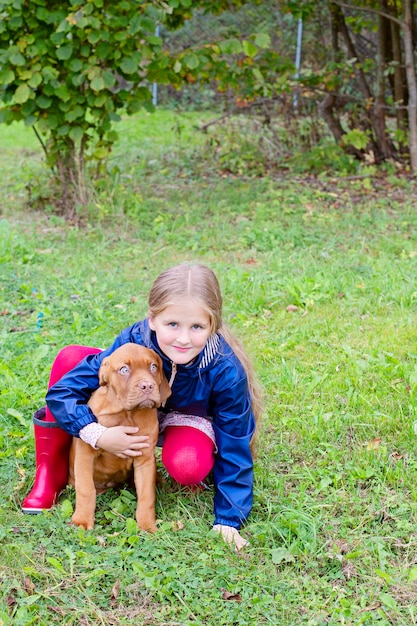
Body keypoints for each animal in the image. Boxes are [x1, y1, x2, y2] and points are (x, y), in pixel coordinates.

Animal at [68, 342, 171, 532]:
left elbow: (146, 495)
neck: (126, 414)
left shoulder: (145, 458)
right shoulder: (85, 453)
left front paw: (147, 525)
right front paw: (82, 520)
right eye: (124, 369)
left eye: (153, 367)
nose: (147, 386)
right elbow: (85, 489)